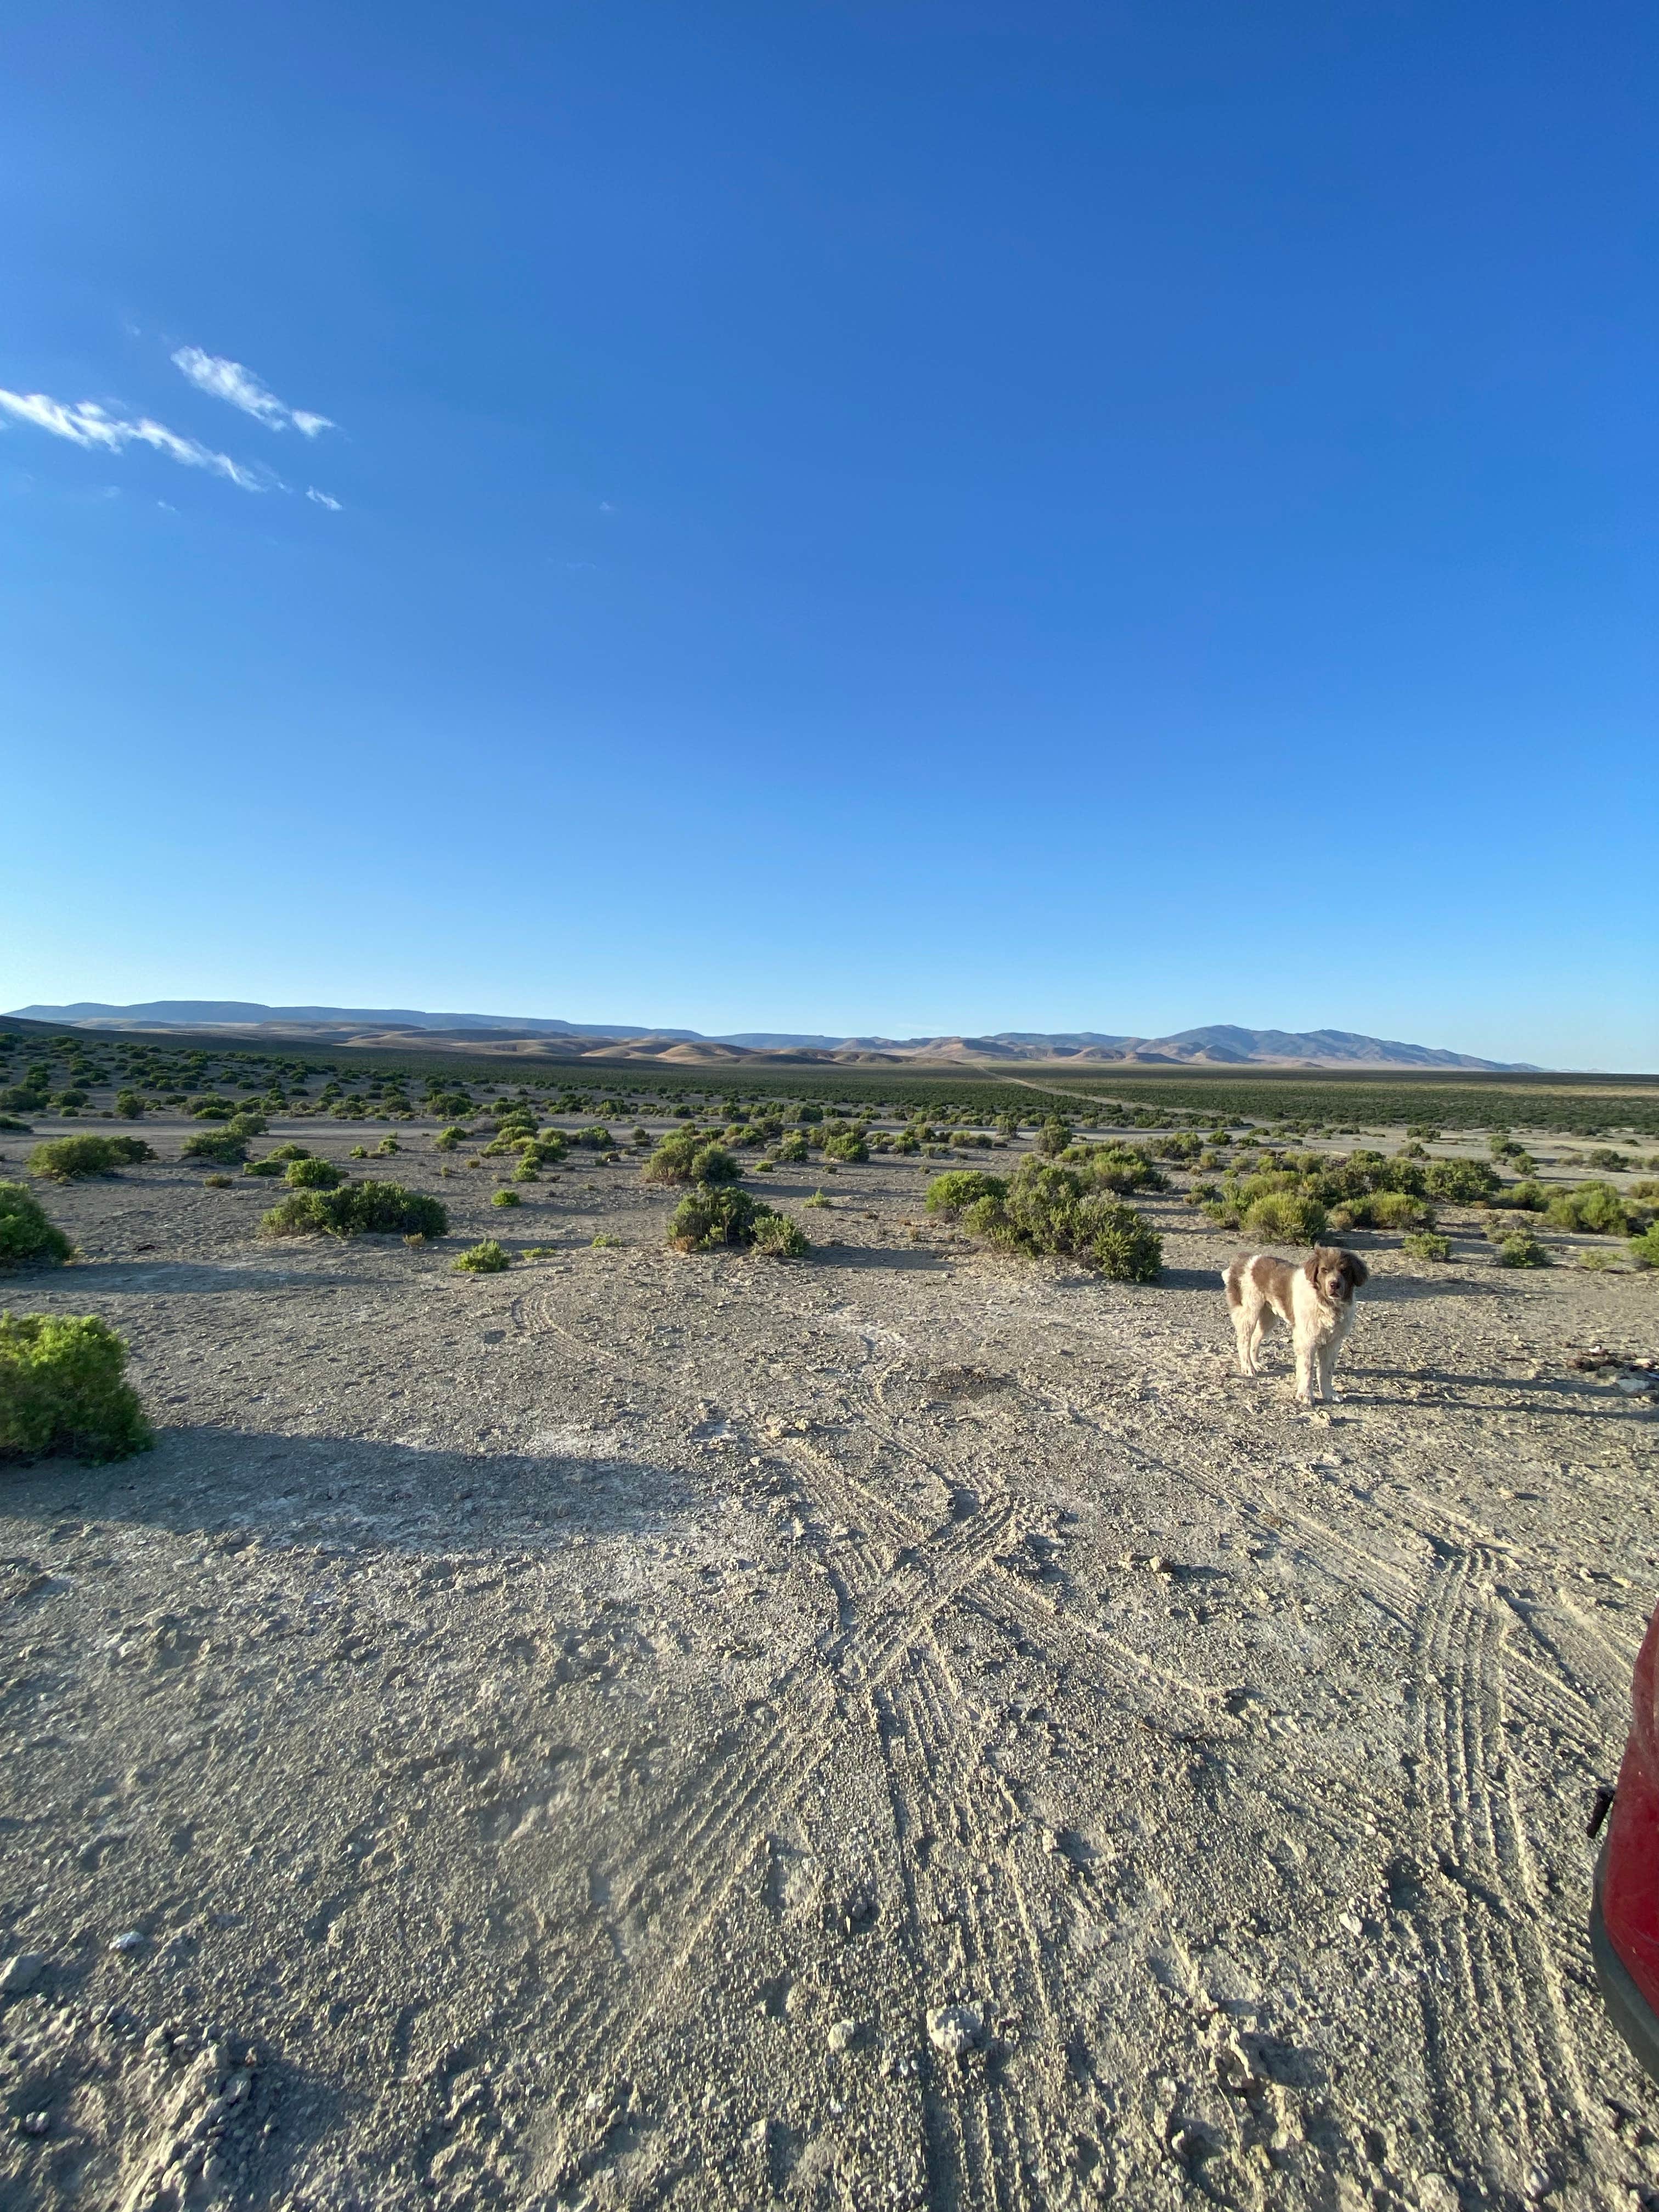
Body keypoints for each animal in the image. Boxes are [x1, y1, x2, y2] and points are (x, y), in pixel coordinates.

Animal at [1229, 1248, 1371, 1398]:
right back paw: (1248, 1367)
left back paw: (1256, 1363)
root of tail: (1245, 1259)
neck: (1325, 1304)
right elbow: (1307, 1369)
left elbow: (1327, 1371)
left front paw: (1329, 1393)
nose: (1334, 1285)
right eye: (1324, 1270)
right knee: (1244, 1342)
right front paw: (1306, 1395)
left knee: (1255, 1339)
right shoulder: (1307, 1340)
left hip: (1268, 1318)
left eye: (1344, 1271)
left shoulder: (1333, 1342)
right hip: (1250, 1313)